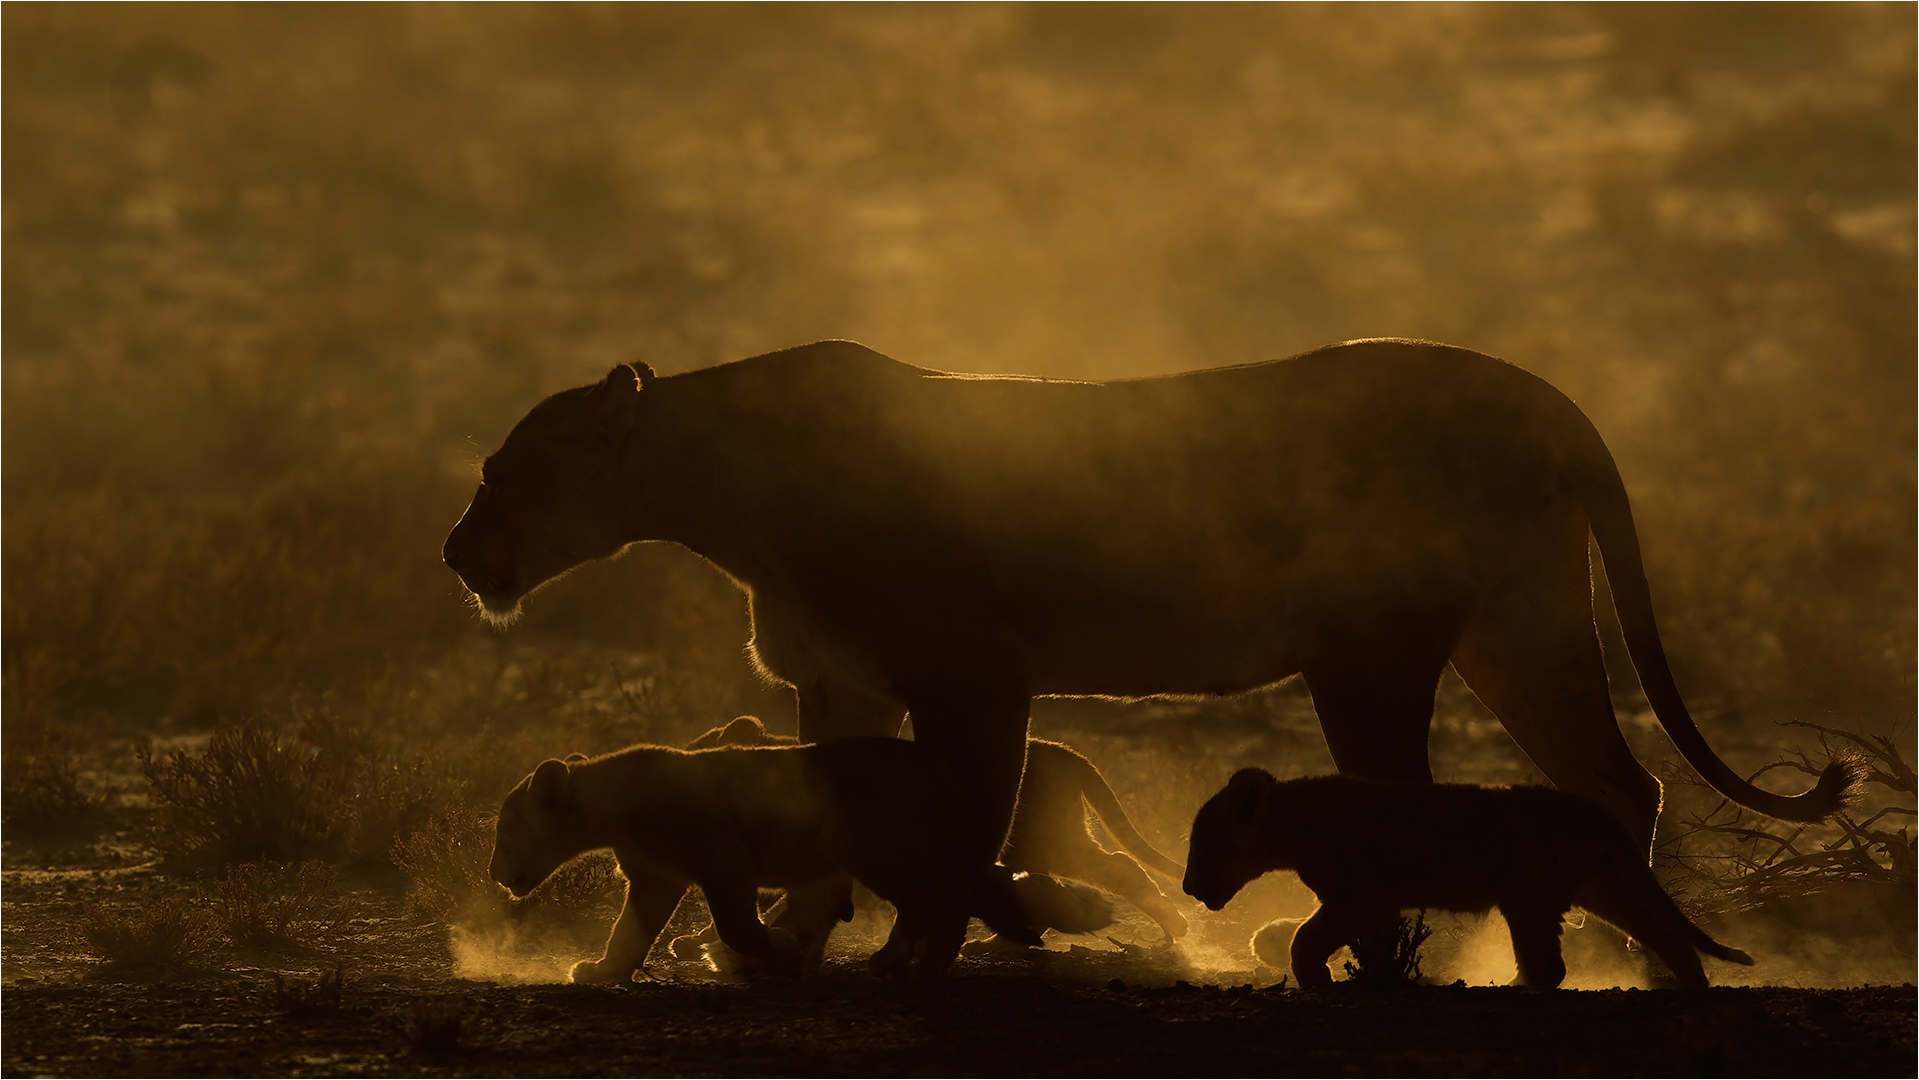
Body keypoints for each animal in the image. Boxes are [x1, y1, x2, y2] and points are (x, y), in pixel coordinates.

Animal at [445, 338, 1858, 890]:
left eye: (509, 473)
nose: (457, 552)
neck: (724, 493)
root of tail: (1548, 396)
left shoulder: (973, 677)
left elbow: (964, 830)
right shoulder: (835, 683)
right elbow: (829, 811)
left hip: (1371, 654)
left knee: (1416, 802)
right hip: (1521, 627)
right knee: (1621, 782)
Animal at [489, 738, 1042, 982]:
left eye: (504, 832)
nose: (492, 874)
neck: (614, 808)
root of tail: (929, 760)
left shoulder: (723, 857)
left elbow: (736, 926)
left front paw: (781, 951)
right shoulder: (655, 878)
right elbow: (629, 929)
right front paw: (604, 969)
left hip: (875, 849)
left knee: (930, 900)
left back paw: (898, 960)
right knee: (951, 899)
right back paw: (924, 962)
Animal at [1182, 769, 1756, 990]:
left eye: (1202, 845)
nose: (1187, 888)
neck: (1291, 819)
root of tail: (1589, 808)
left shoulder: (1360, 895)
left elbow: (1306, 937)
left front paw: (1317, 979)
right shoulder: (1373, 902)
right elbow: (1365, 942)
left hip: (1527, 892)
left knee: (1549, 967)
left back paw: (1509, 986)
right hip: (1601, 888)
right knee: (1663, 937)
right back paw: (1692, 986)